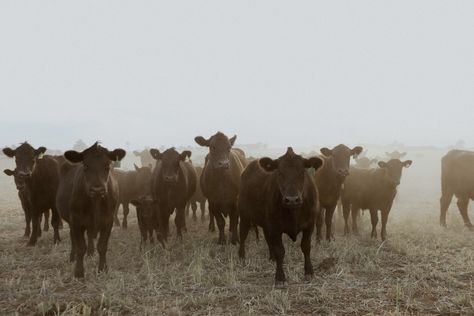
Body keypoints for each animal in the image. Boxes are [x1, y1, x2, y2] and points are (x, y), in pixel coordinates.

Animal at [55, 142, 126, 278]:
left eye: (107, 165)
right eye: (86, 165)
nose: (97, 189)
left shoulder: (108, 220)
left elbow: (102, 246)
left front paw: (102, 268)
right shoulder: (76, 221)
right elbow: (80, 247)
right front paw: (79, 272)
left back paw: (91, 252)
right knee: (73, 239)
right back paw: (72, 257)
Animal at [239, 148, 324, 286]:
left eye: (302, 172)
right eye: (279, 173)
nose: (292, 200)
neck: (294, 212)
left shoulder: (310, 225)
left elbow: (306, 247)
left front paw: (309, 272)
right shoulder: (275, 227)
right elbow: (280, 251)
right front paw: (280, 277)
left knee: (268, 239)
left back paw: (271, 257)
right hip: (244, 215)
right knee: (242, 235)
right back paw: (241, 256)